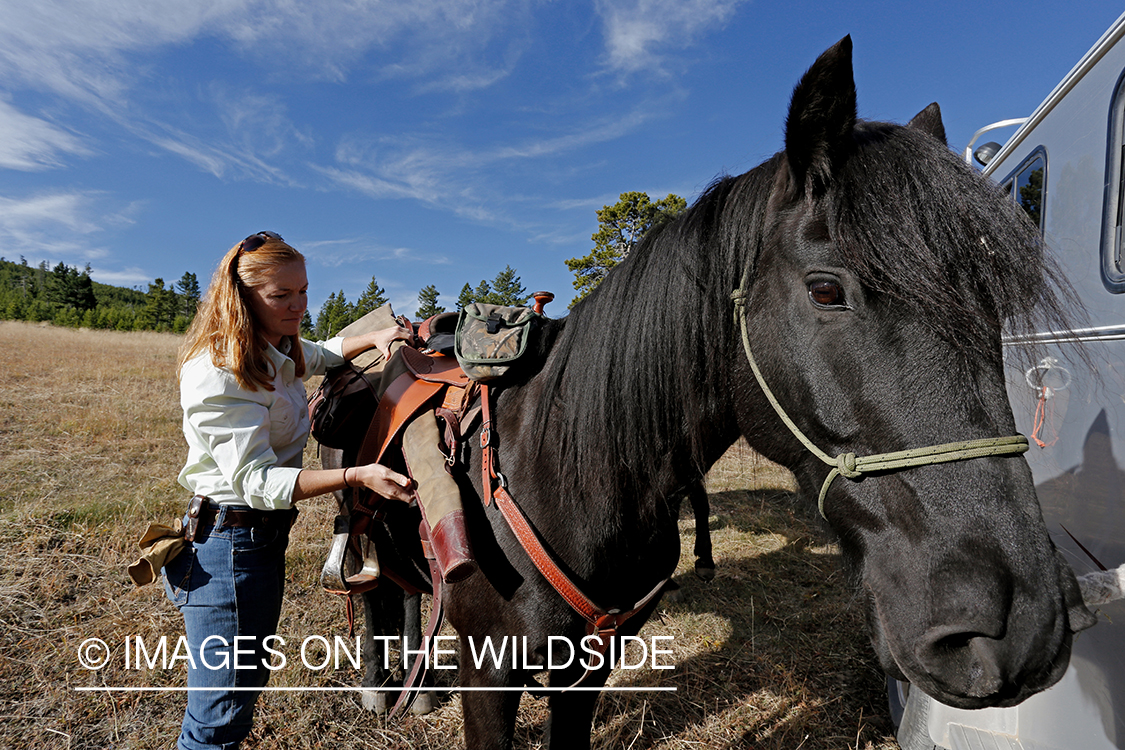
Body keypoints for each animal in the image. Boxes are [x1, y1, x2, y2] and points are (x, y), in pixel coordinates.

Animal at [357, 36, 1097, 748]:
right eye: (825, 290)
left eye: (995, 302)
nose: (1024, 623)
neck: (569, 479)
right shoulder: (489, 673)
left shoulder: (588, 667)